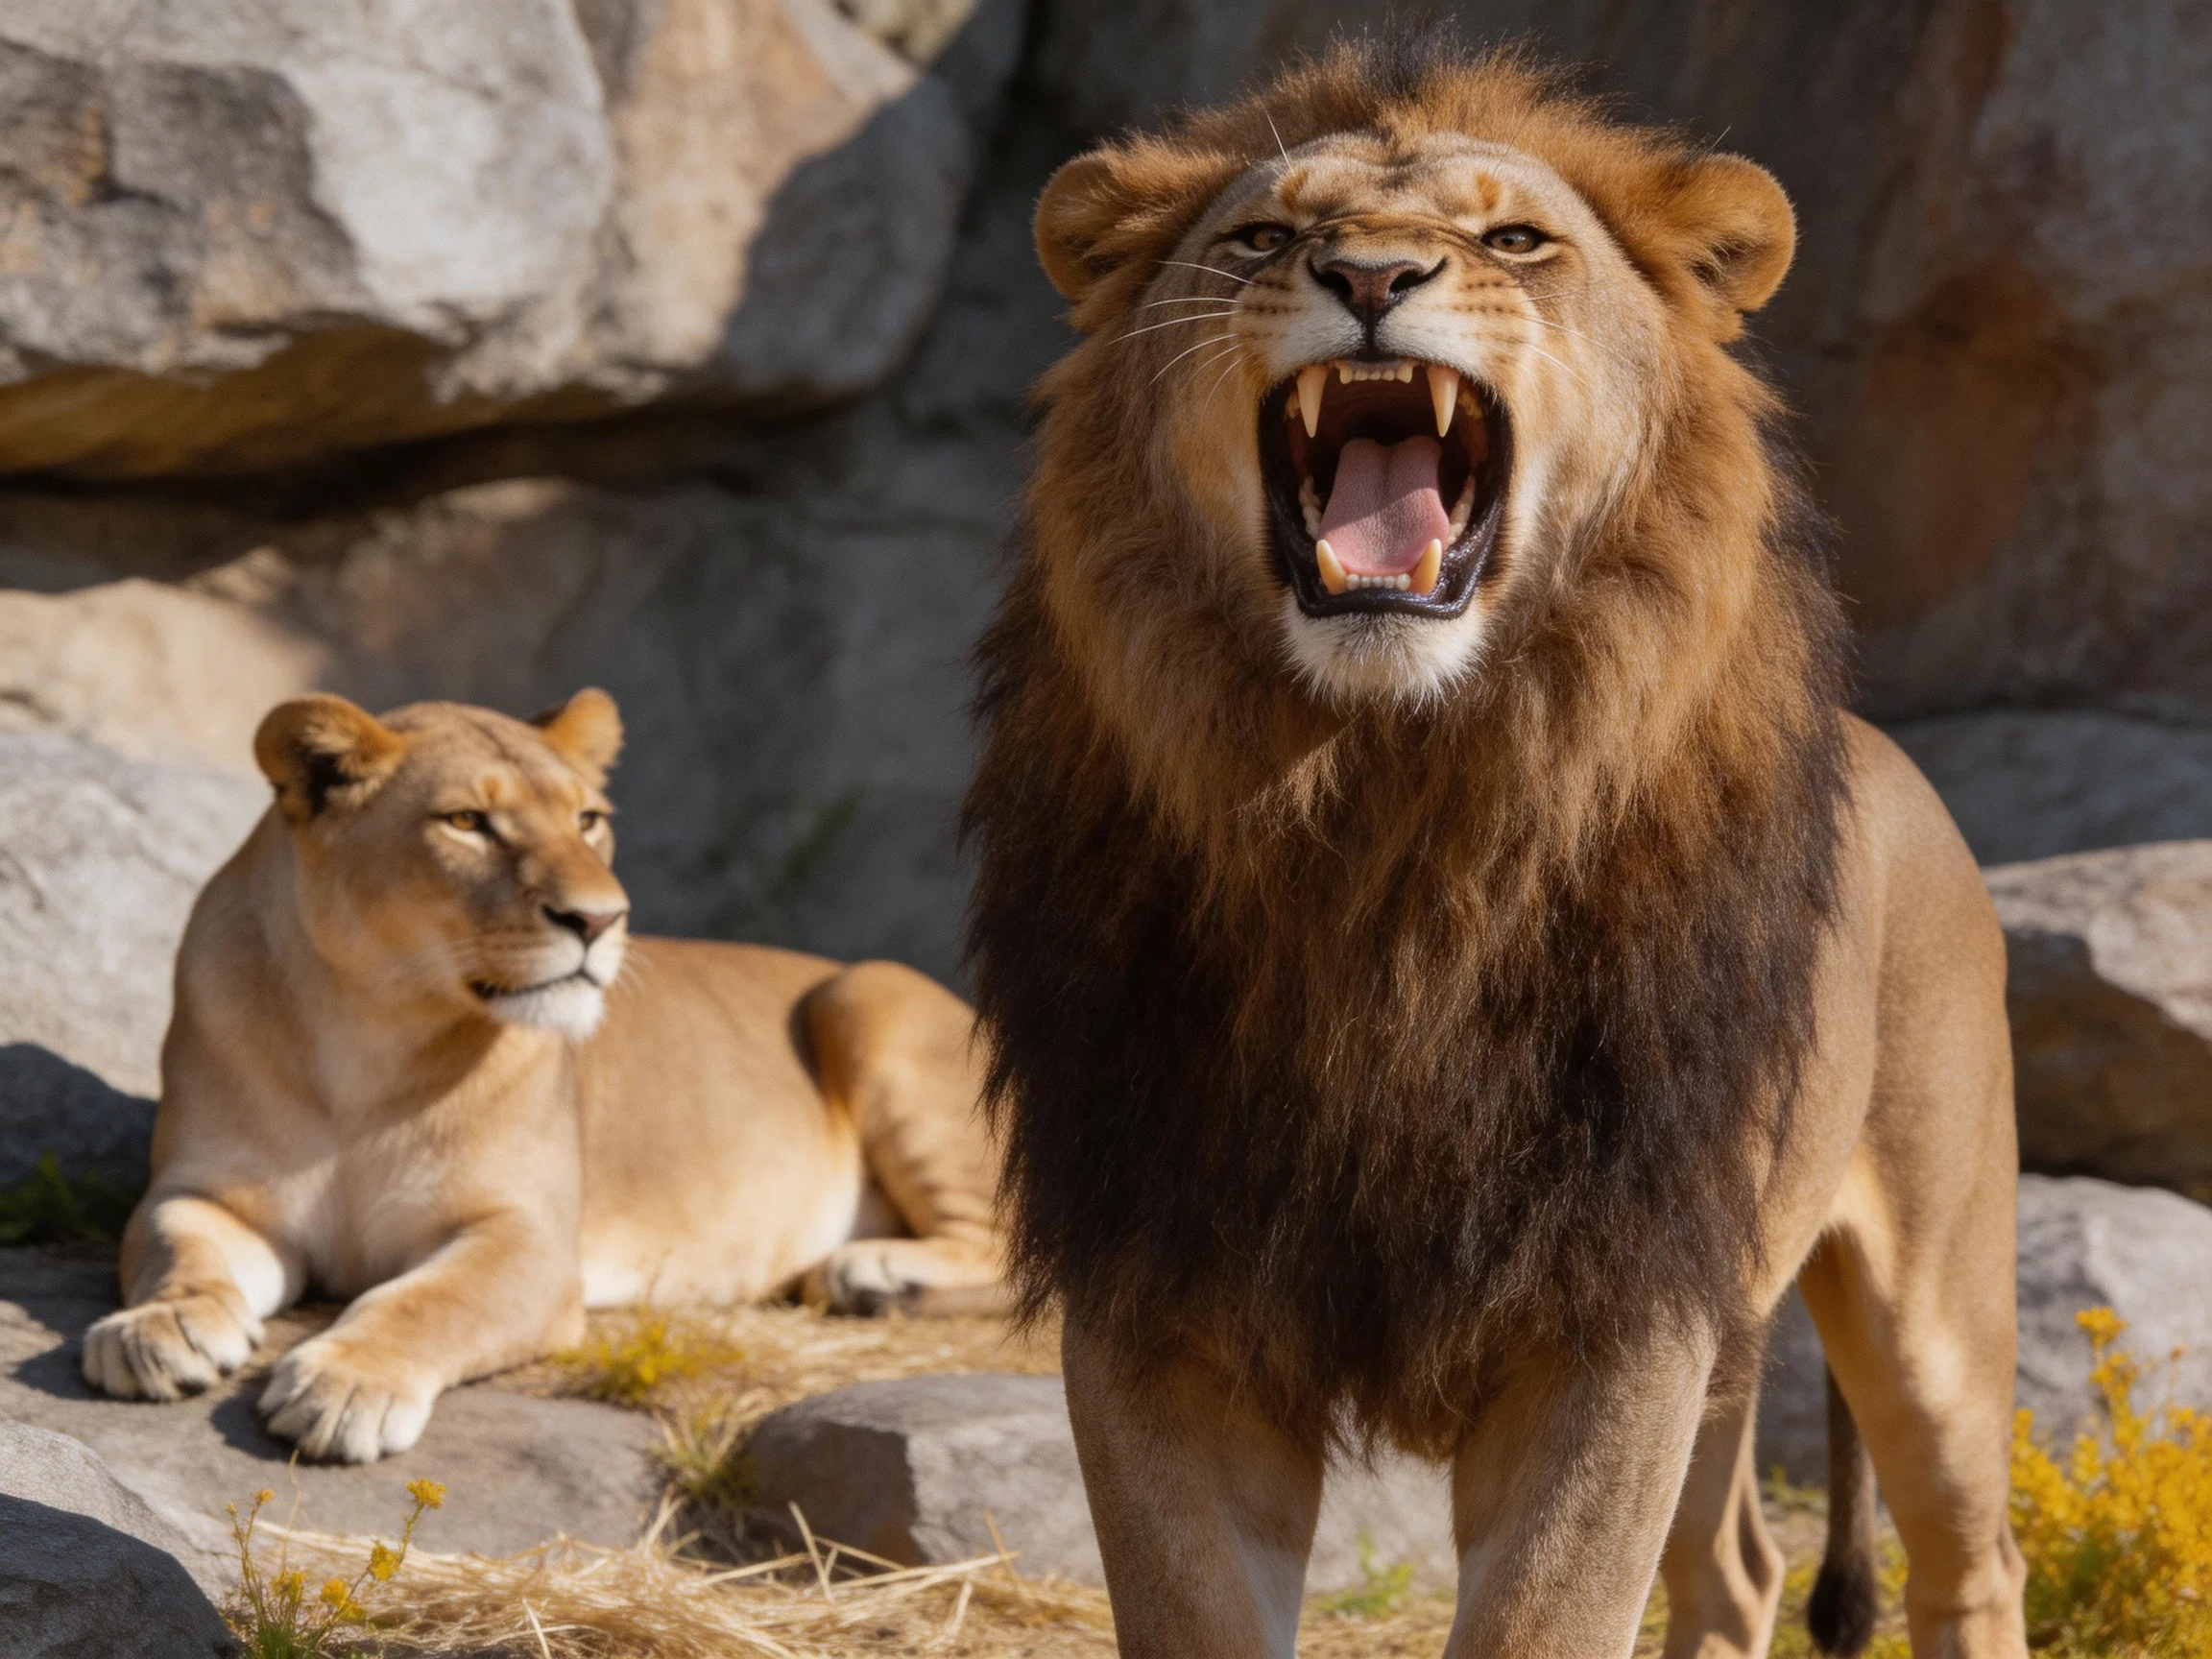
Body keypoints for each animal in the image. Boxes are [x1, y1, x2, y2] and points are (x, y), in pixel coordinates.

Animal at [81, 689, 1002, 1463]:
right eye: (466, 821)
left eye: (587, 819)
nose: (601, 919)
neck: (368, 1033)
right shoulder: (208, 1191)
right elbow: (173, 1242)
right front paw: (158, 1329)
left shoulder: (530, 1239)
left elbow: (426, 1302)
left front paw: (346, 1387)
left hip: (867, 991)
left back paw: (874, 1274)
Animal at [963, 39, 2026, 1659]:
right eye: (1261, 237)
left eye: (1516, 239)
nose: (1371, 275)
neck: (1387, 809)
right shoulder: (1160, 1298)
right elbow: (1196, 1610)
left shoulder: (1614, 1305)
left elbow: (1546, 1615)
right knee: (1736, 1569)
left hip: (1934, 1310)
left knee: (1971, 1563)